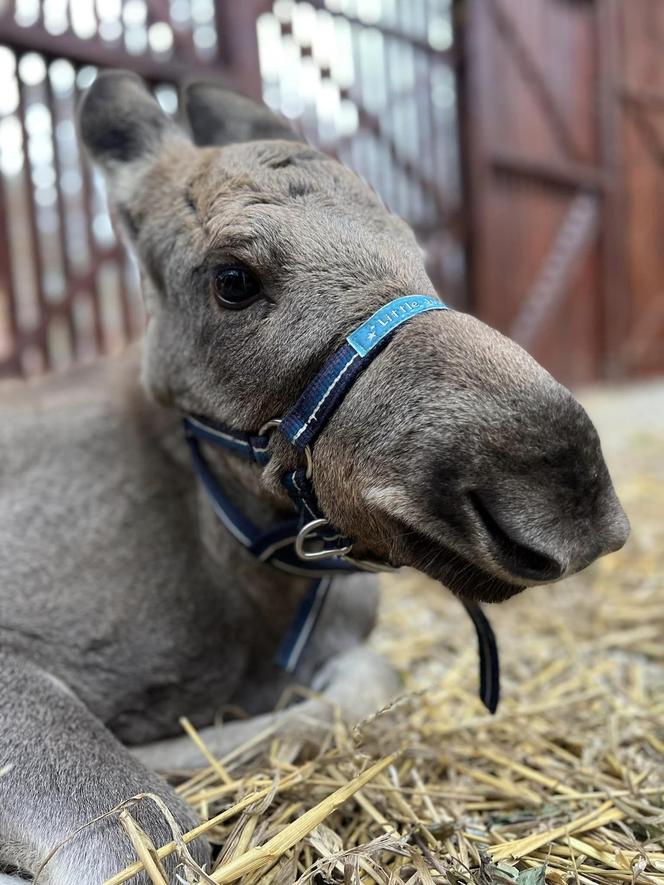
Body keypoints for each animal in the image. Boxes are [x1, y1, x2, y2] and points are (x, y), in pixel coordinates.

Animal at [0, 72, 628, 880]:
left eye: (414, 247)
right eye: (233, 279)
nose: (566, 496)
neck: (249, 583)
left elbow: (369, 687)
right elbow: (144, 824)